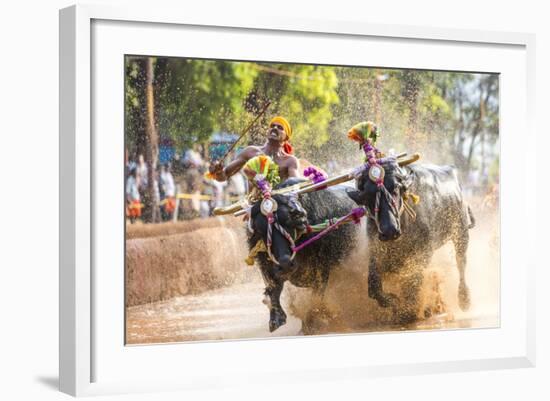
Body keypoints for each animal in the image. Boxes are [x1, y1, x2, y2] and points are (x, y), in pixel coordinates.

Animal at [350, 159, 474, 322]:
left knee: (461, 262)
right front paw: (396, 304)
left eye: (395, 189)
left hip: (461, 232)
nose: (389, 231)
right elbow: (373, 287)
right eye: (367, 195)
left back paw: (464, 298)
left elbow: (412, 281)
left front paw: (409, 311)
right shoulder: (376, 251)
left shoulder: (423, 251)